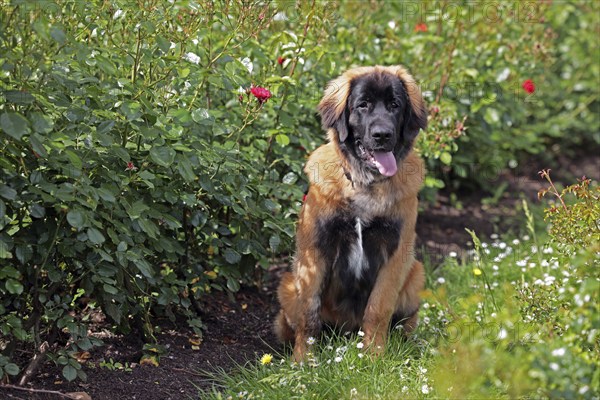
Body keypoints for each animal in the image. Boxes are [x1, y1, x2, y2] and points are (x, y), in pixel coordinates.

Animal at [274, 64, 428, 360]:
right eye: (362, 105)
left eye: (395, 105)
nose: (382, 135)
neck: (365, 184)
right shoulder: (315, 250)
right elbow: (309, 315)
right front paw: (303, 360)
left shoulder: (395, 253)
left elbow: (378, 309)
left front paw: (374, 356)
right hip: (287, 285)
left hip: (415, 275)